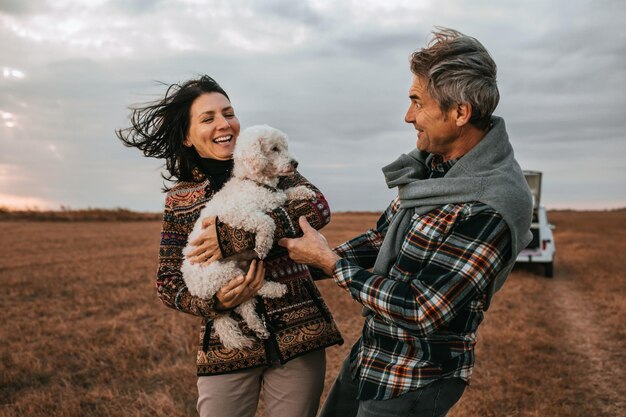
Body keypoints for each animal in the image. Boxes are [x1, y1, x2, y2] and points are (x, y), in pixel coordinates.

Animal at [180, 122, 316, 348]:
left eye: (285, 147)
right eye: (274, 149)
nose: (295, 163)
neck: (253, 182)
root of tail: (198, 290)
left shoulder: (274, 197)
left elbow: (285, 194)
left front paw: (305, 193)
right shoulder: (235, 215)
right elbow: (267, 221)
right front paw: (262, 244)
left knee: (246, 305)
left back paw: (259, 328)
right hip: (226, 273)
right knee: (252, 288)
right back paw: (275, 290)